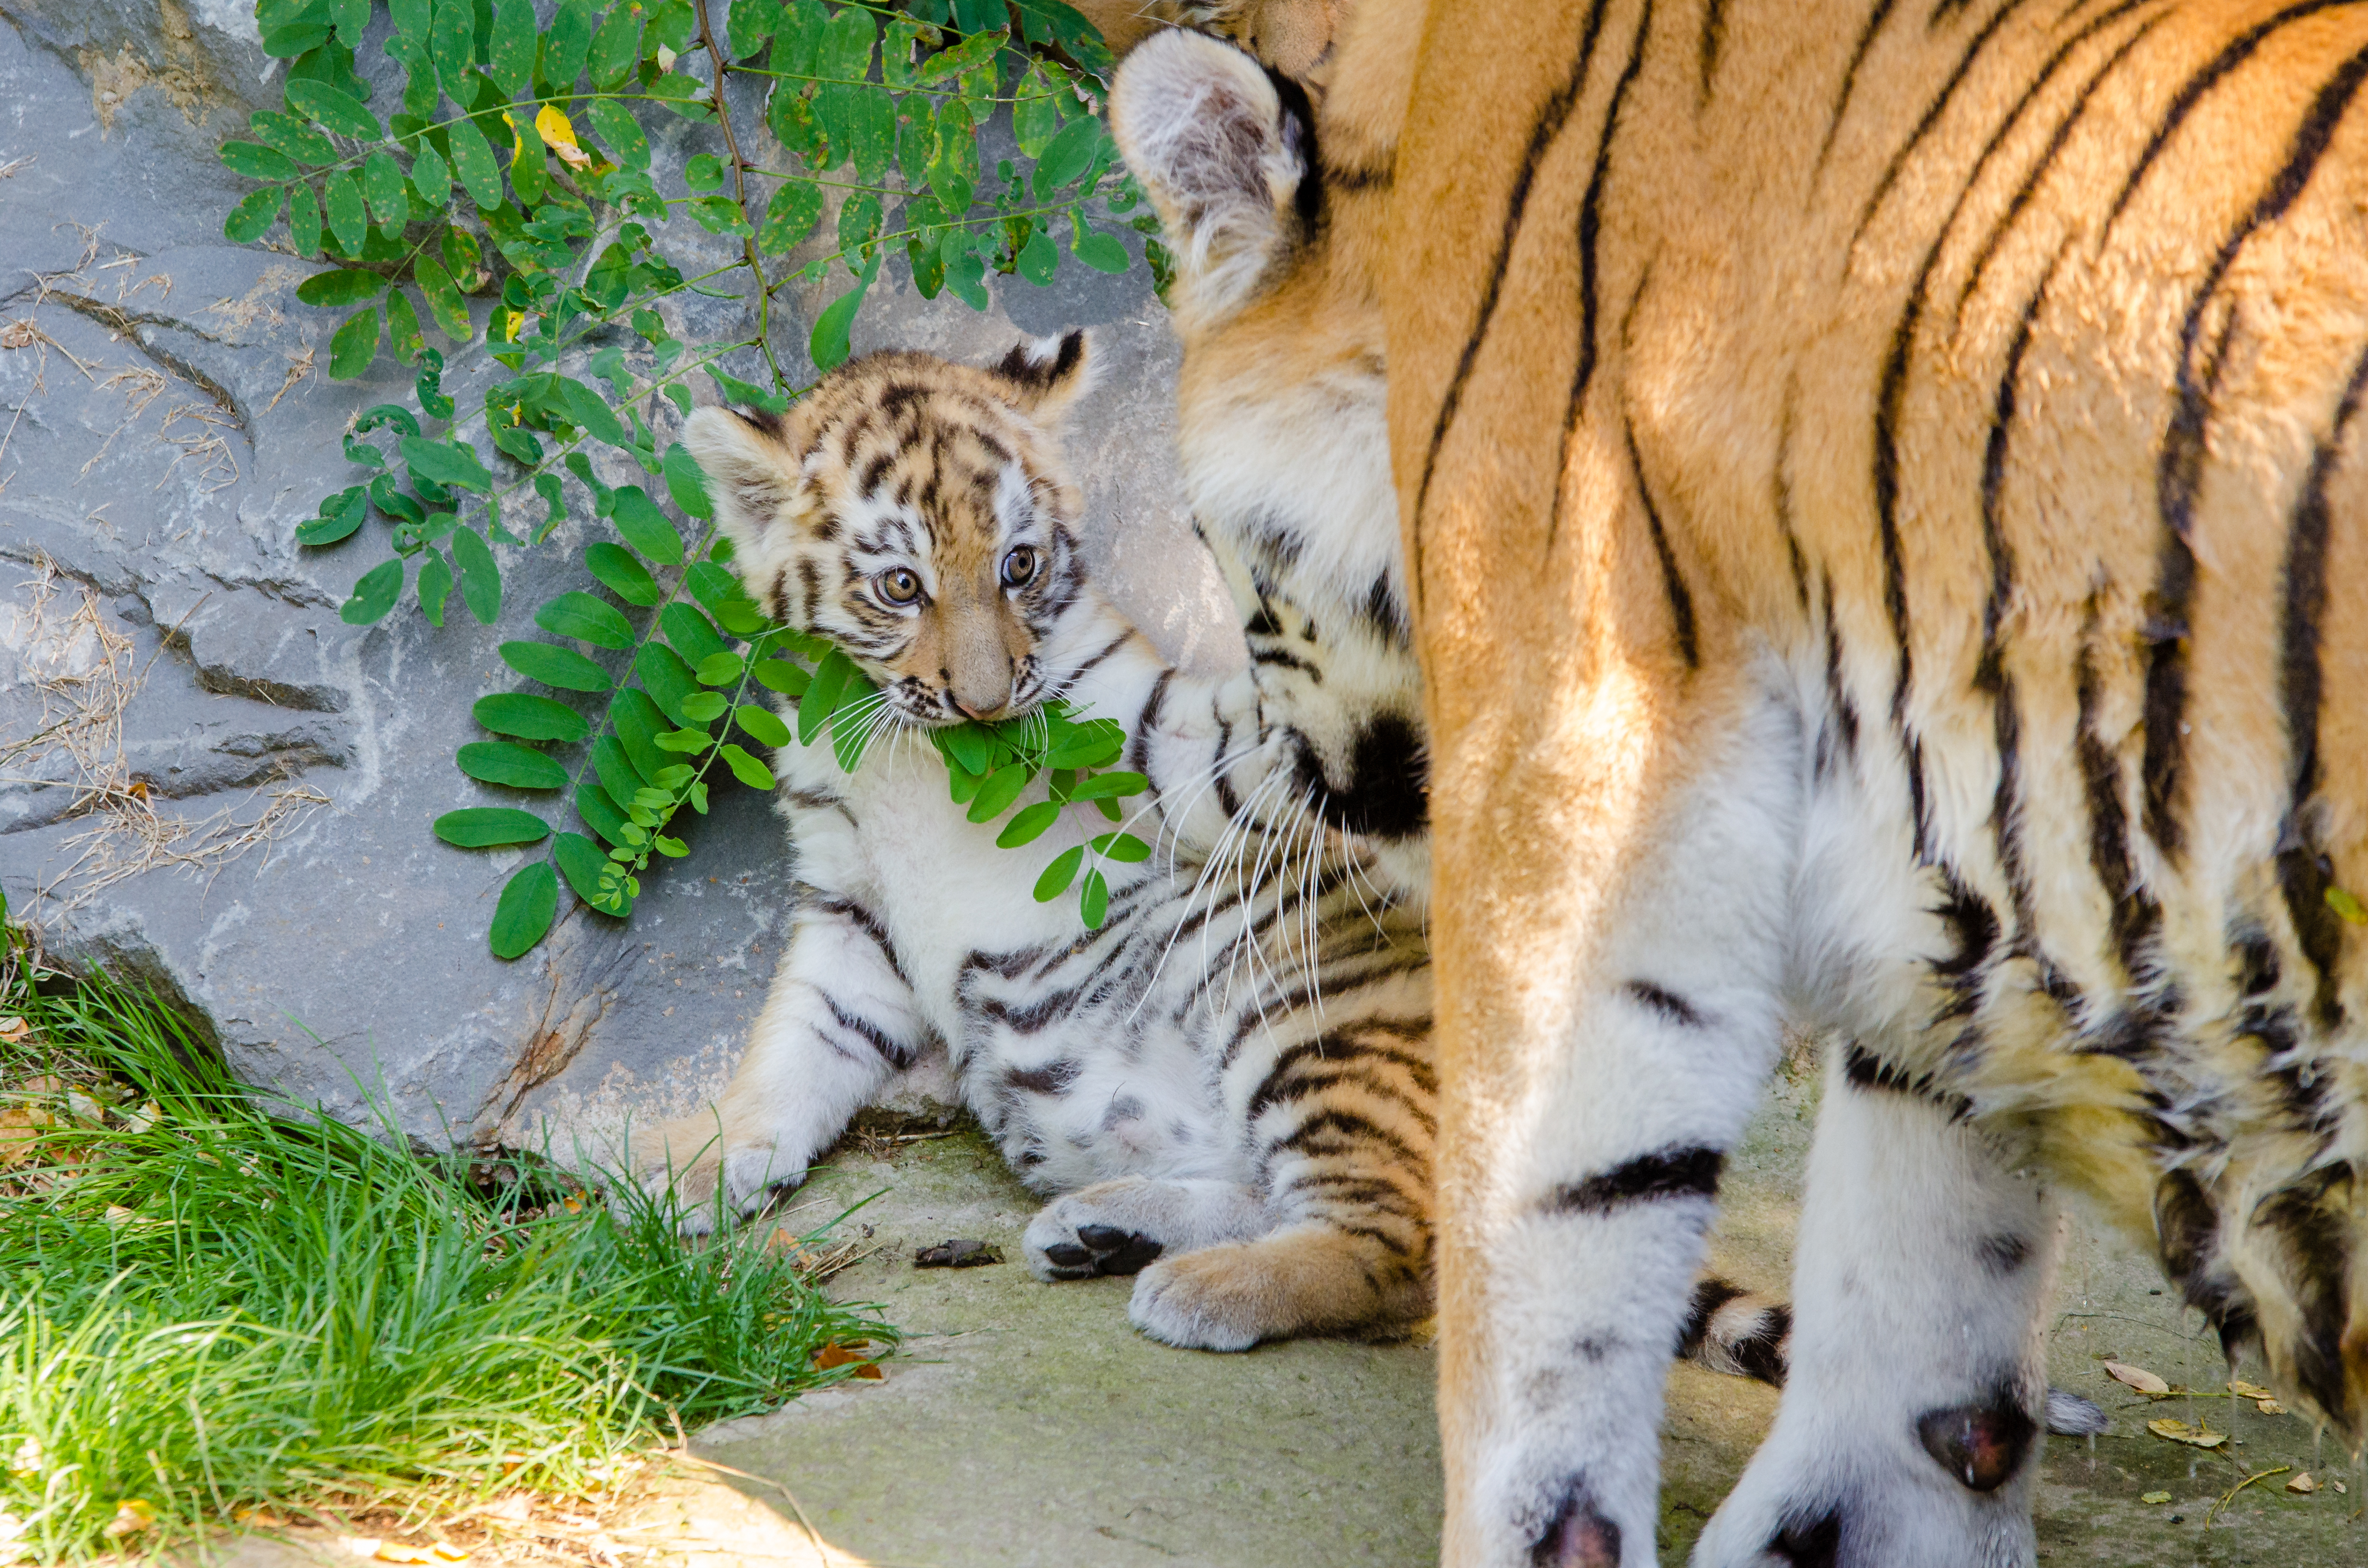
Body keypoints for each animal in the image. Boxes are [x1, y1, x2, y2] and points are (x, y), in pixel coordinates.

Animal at [1118, 3, 2368, 1568]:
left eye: (1209, 545)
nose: (1282, 776)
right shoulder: (1942, 910)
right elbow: (1912, 1381)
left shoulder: (1576, 742)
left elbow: (1540, 1292)